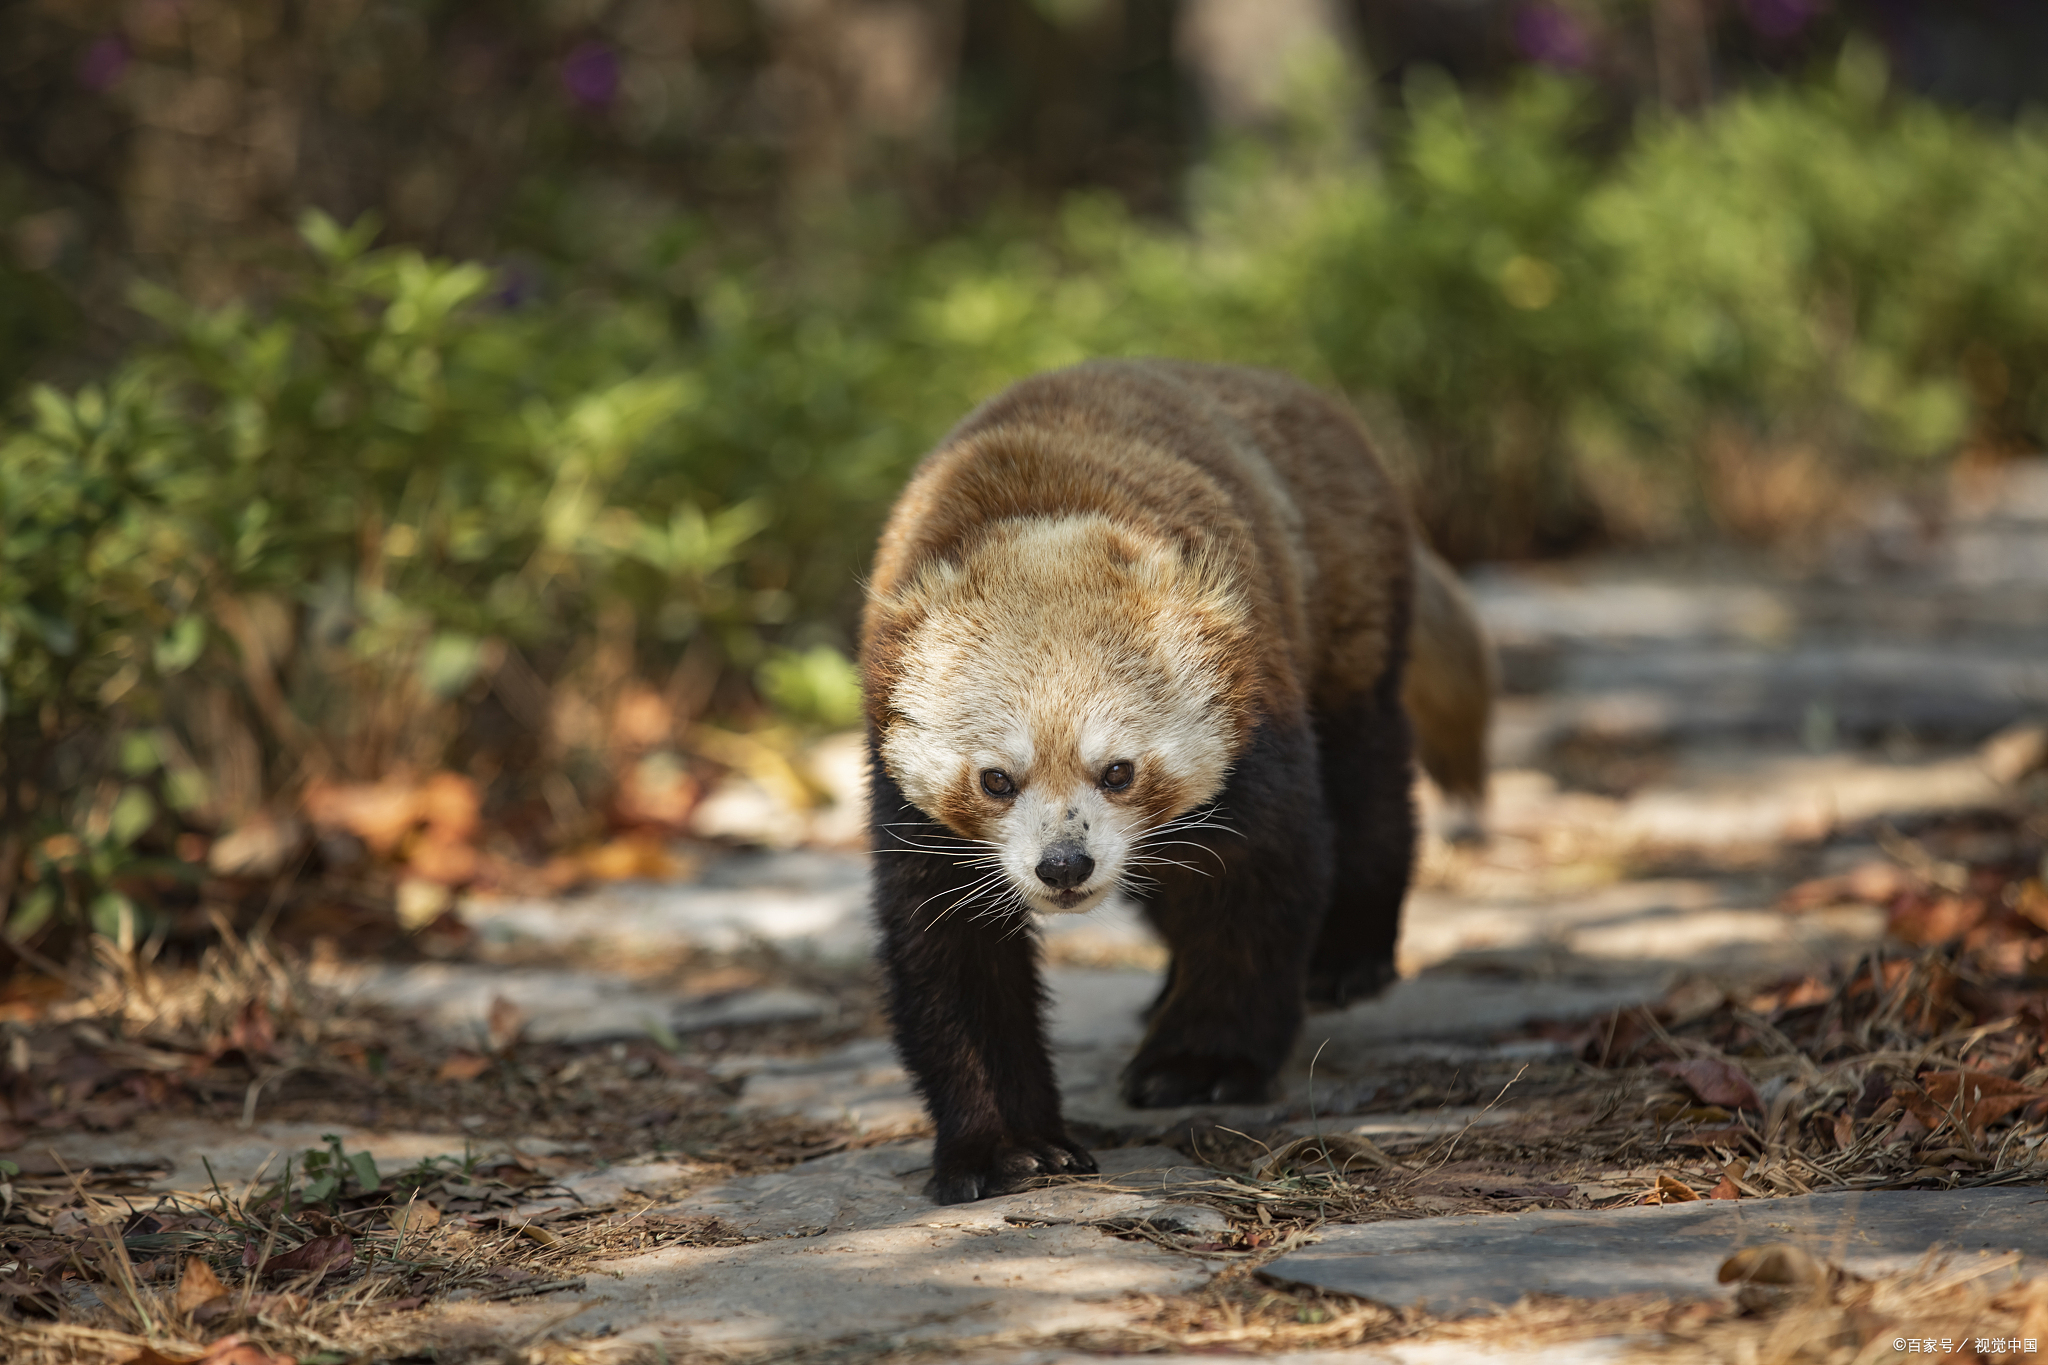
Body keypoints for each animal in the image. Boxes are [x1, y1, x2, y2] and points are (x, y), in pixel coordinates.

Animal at [856, 358, 1499, 1203]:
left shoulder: (1255, 706)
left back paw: (1348, 955)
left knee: (1367, 776)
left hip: (1345, 606)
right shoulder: (905, 797)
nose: (1064, 865)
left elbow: (1255, 886)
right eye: (997, 780)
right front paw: (1006, 1145)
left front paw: (1201, 1062)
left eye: (1118, 771)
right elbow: (951, 959)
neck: (1040, 517)